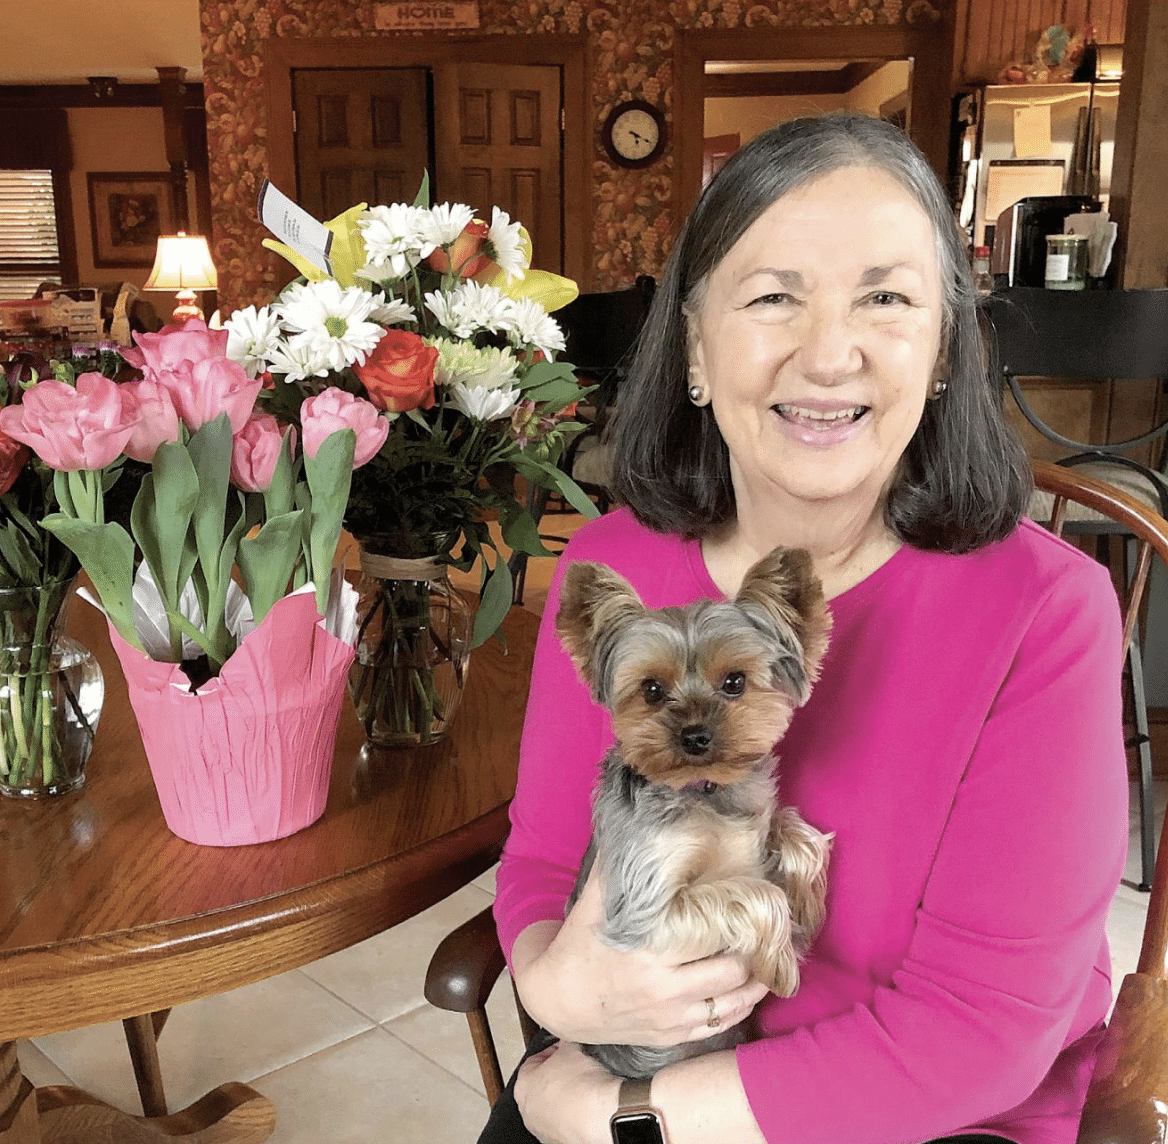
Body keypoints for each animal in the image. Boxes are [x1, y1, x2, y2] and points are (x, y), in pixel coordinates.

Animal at [555, 549, 831, 1079]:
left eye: (735, 682)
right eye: (651, 689)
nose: (695, 736)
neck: (705, 792)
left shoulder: (758, 817)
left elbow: (798, 832)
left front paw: (807, 908)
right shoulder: (645, 911)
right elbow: (759, 894)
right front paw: (783, 962)